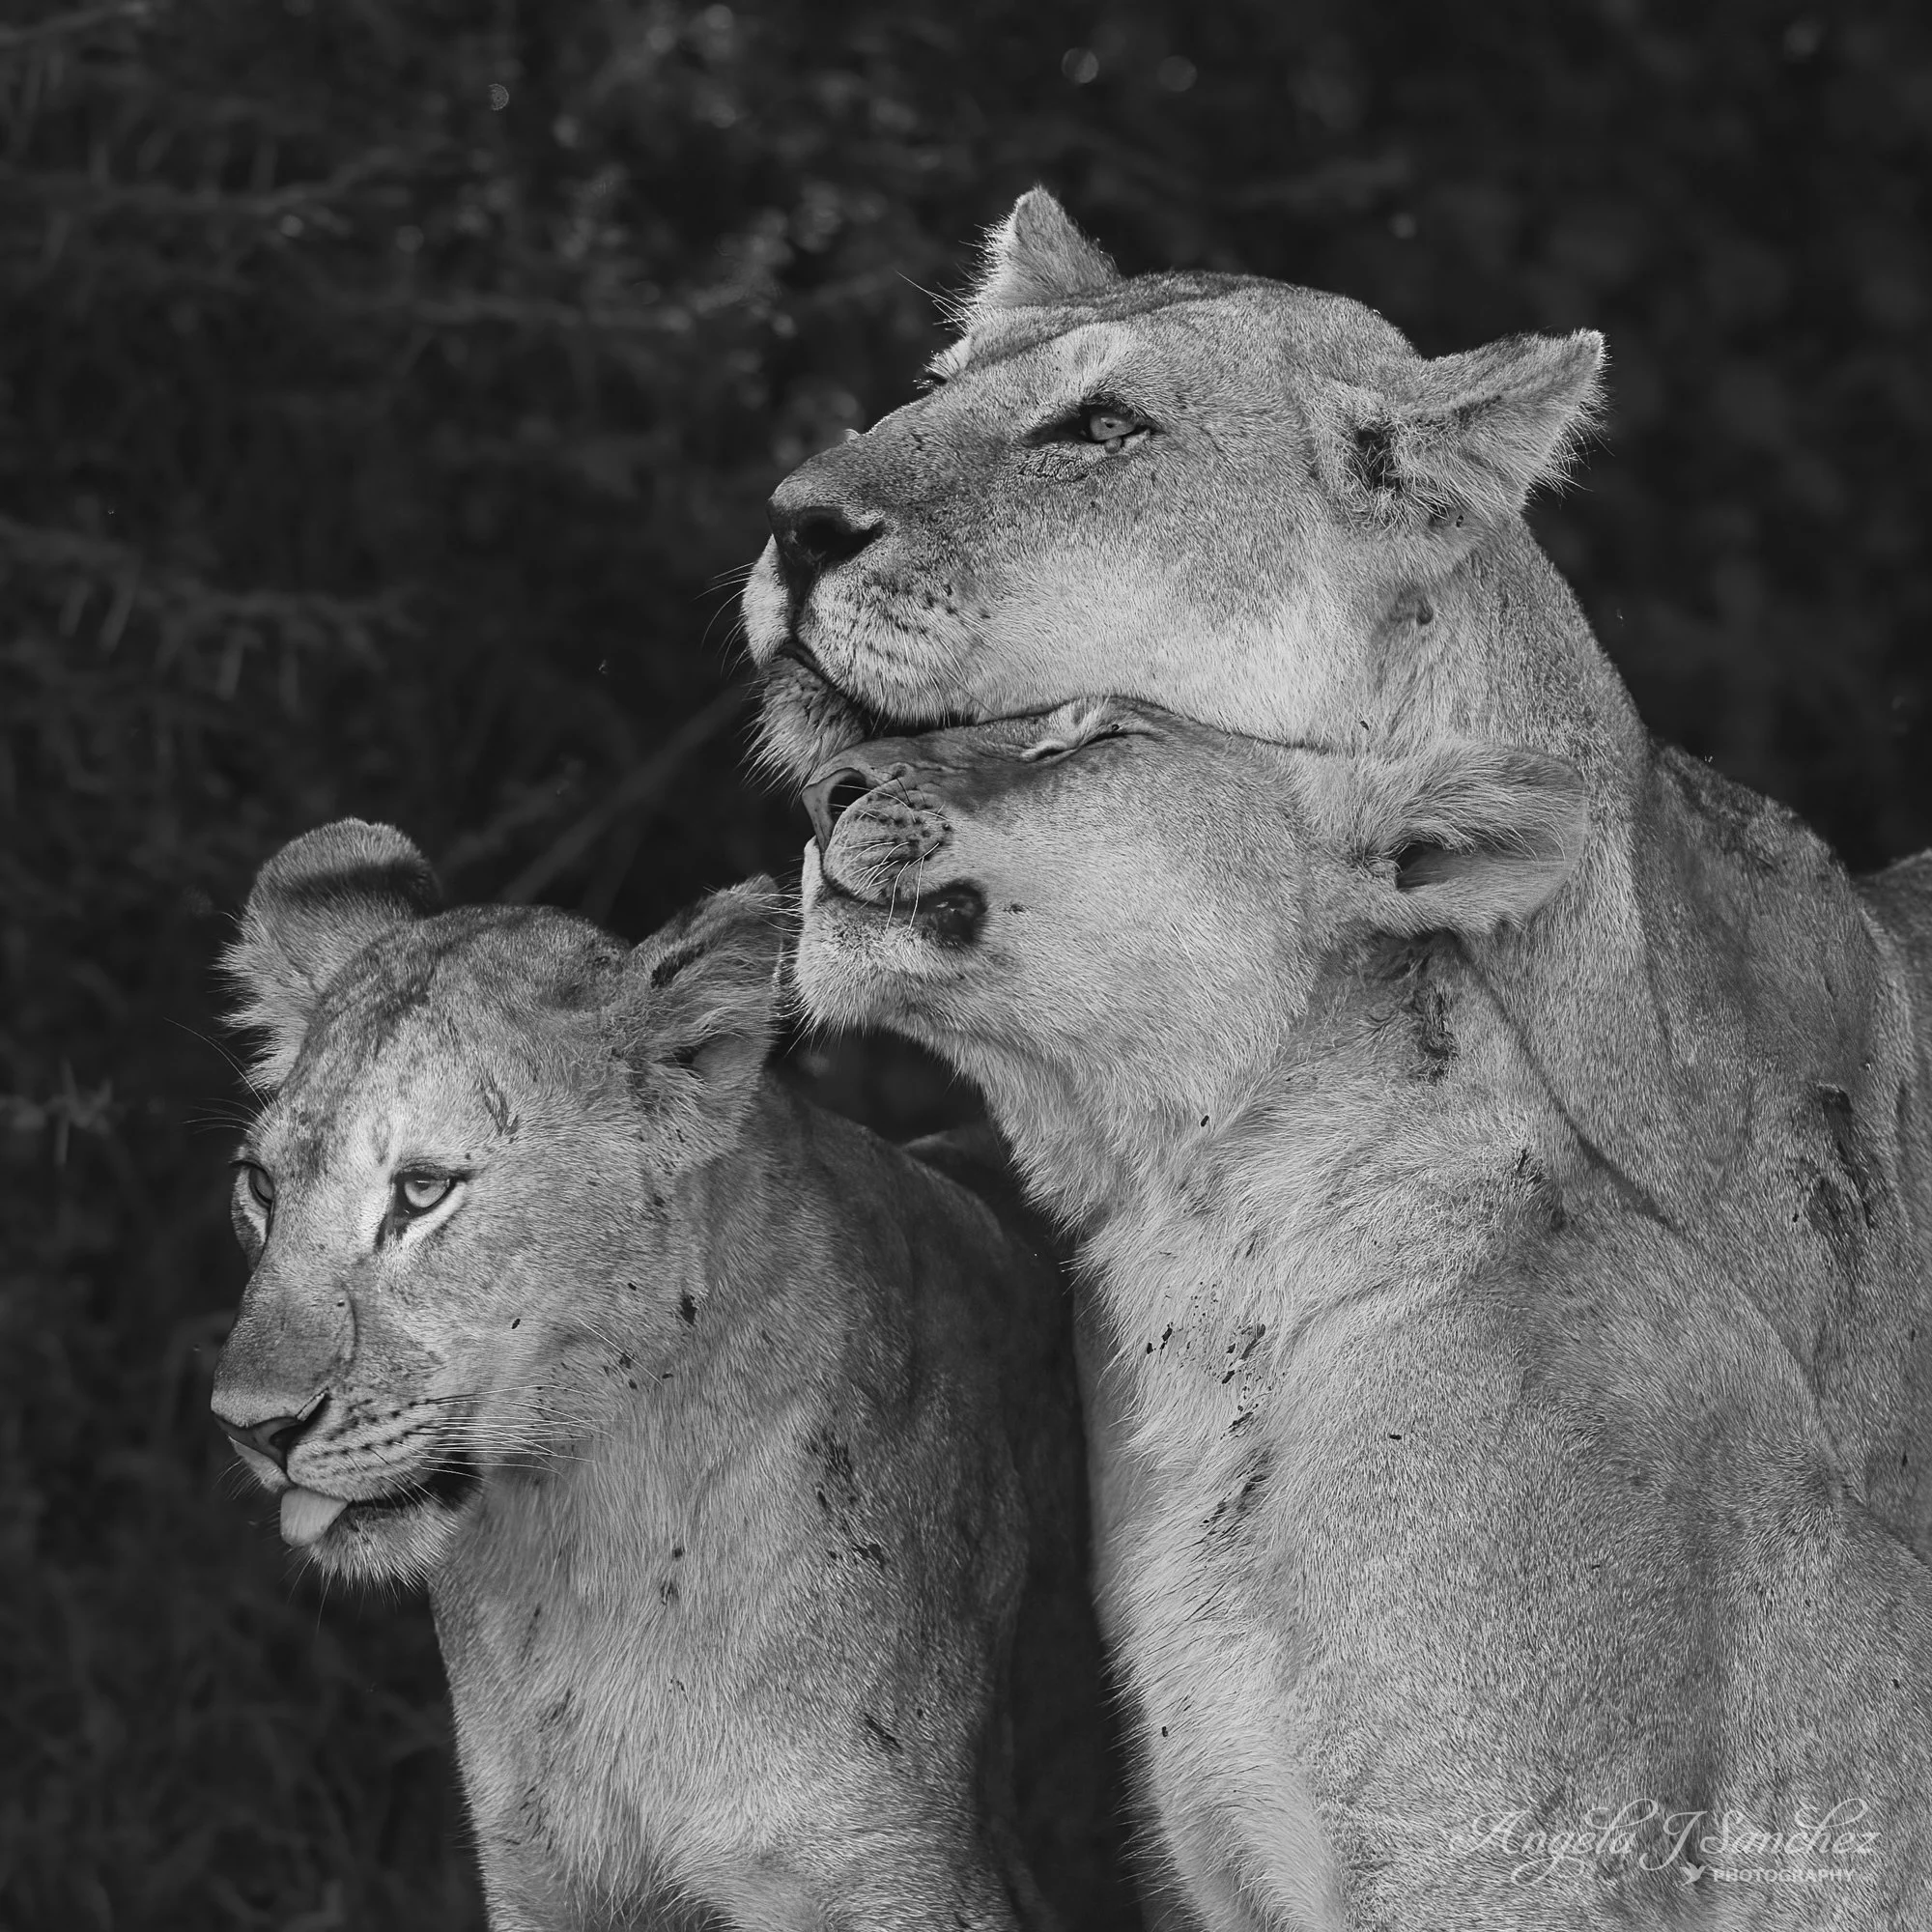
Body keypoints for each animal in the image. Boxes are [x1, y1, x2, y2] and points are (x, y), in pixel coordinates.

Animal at [208, 819, 1129, 1932]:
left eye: (423, 1191)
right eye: (261, 1186)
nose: (250, 1426)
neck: (589, 1545)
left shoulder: (905, 1875)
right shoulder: (547, 1877)